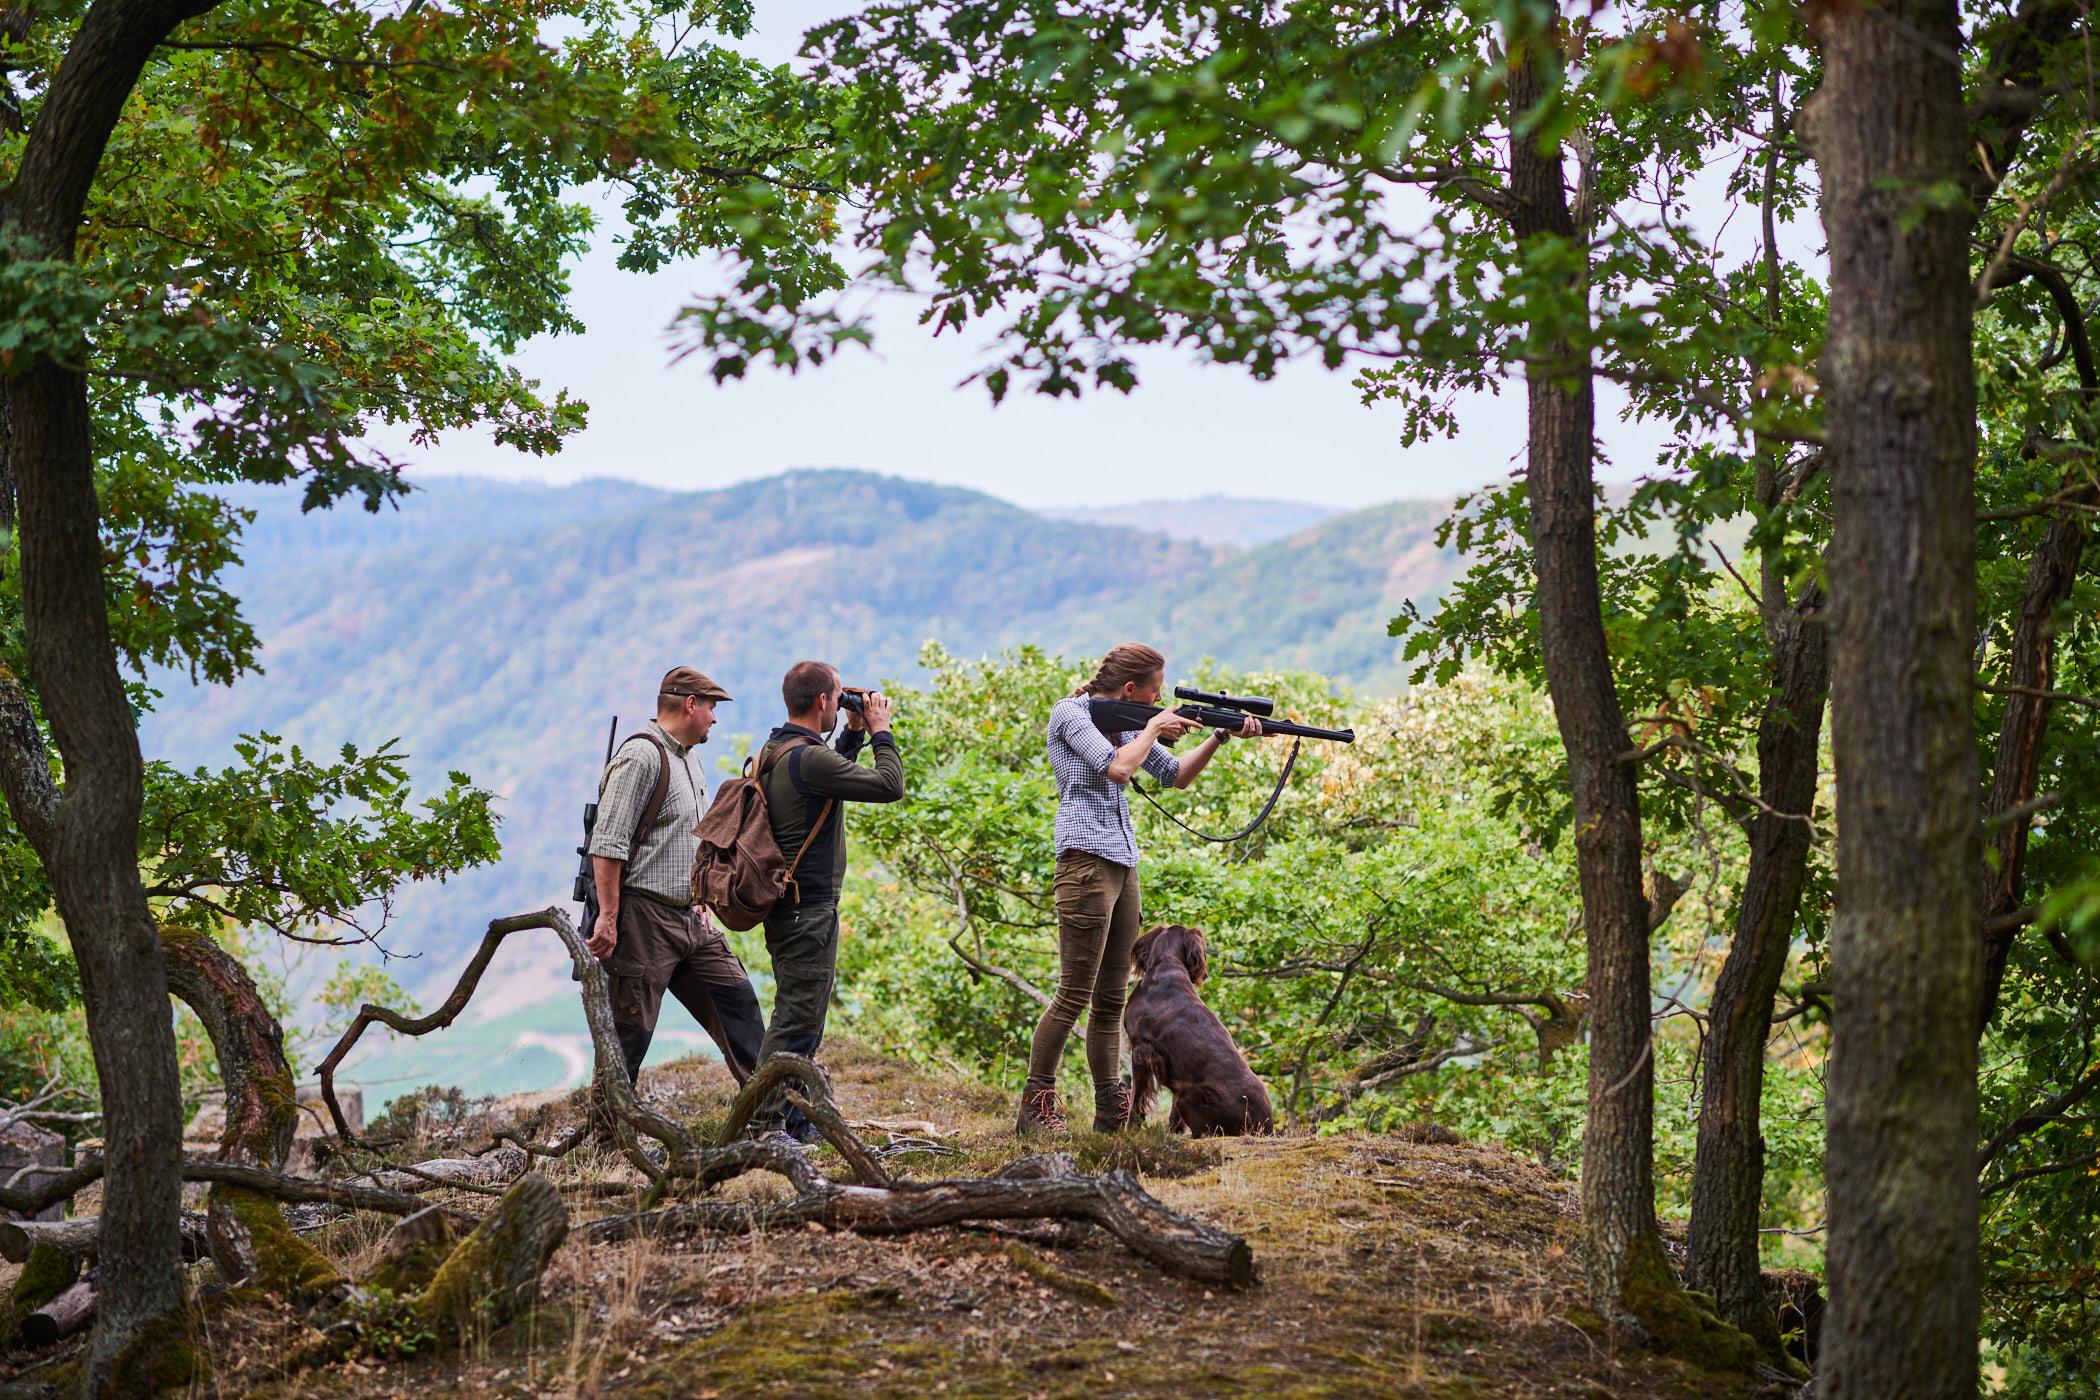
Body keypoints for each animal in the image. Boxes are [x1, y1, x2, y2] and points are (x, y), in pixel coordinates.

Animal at [1125, 923, 1268, 1133]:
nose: (1206, 975)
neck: (1167, 964)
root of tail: (1265, 1125)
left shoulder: (1141, 1050)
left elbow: (1136, 1099)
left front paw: (1128, 1131)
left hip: (1187, 1096)